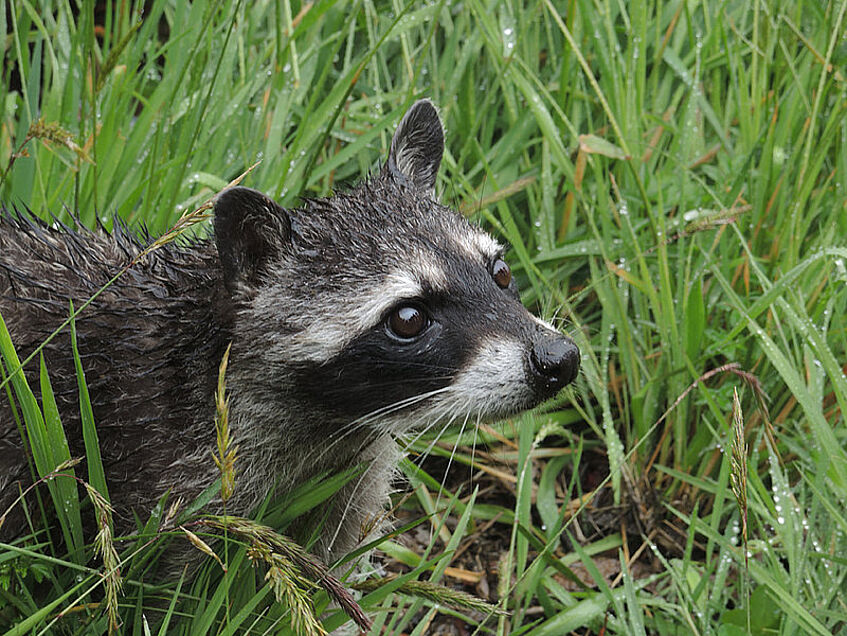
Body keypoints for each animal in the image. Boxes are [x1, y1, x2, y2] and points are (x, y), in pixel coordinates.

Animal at [0, 100, 576, 568]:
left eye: (500, 273)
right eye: (408, 318)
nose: (559, 360)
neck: (333, 422)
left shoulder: (347, 485)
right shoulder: (160, 479)